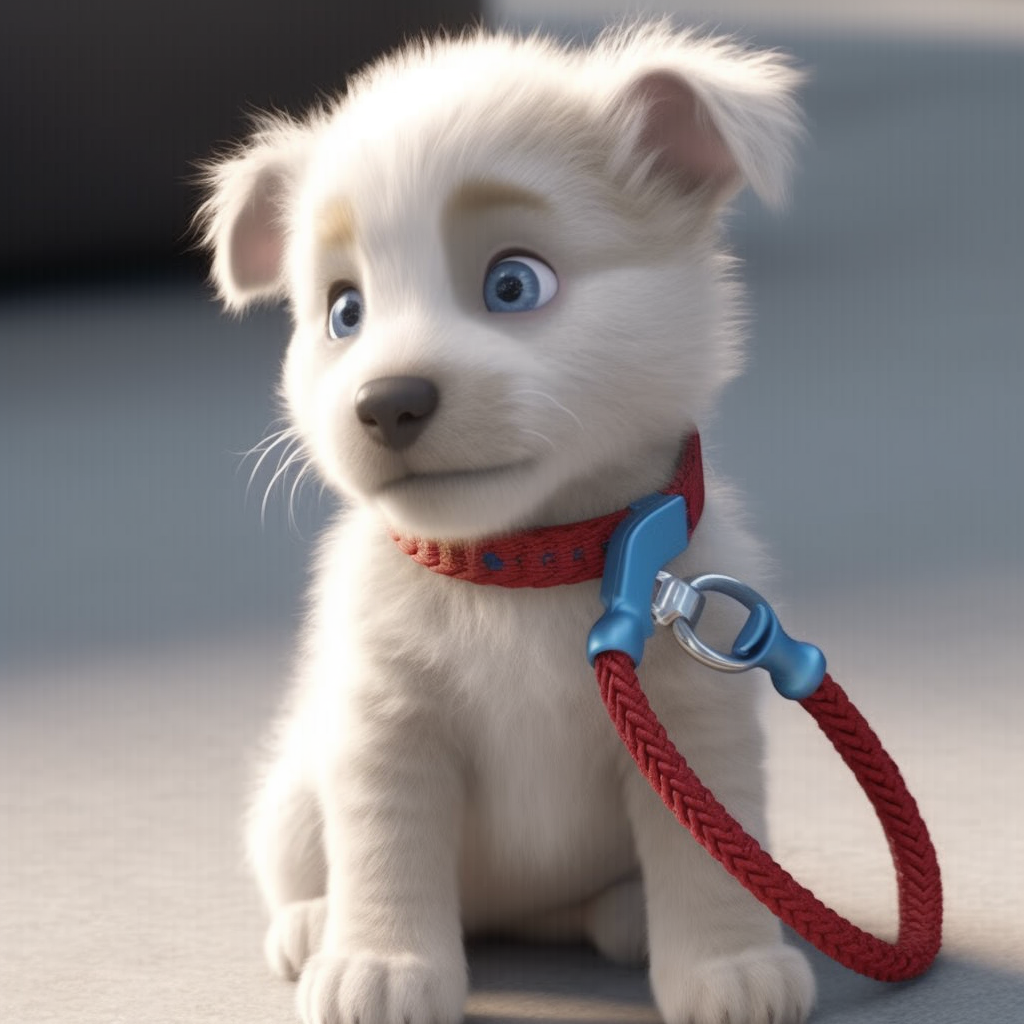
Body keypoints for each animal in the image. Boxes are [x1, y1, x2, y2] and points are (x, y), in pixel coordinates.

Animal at [199, 22, 815, 1024]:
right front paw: (380, 964)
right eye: (344, 312)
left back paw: (628, 914)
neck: (518, 561)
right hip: (293, 790)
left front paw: (730, 966)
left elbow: (708, 852)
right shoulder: (384, 726)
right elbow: (385, 850)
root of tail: (519, 916)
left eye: (514, 285)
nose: (387, 402)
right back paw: (312, 922)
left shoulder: (692, 720)